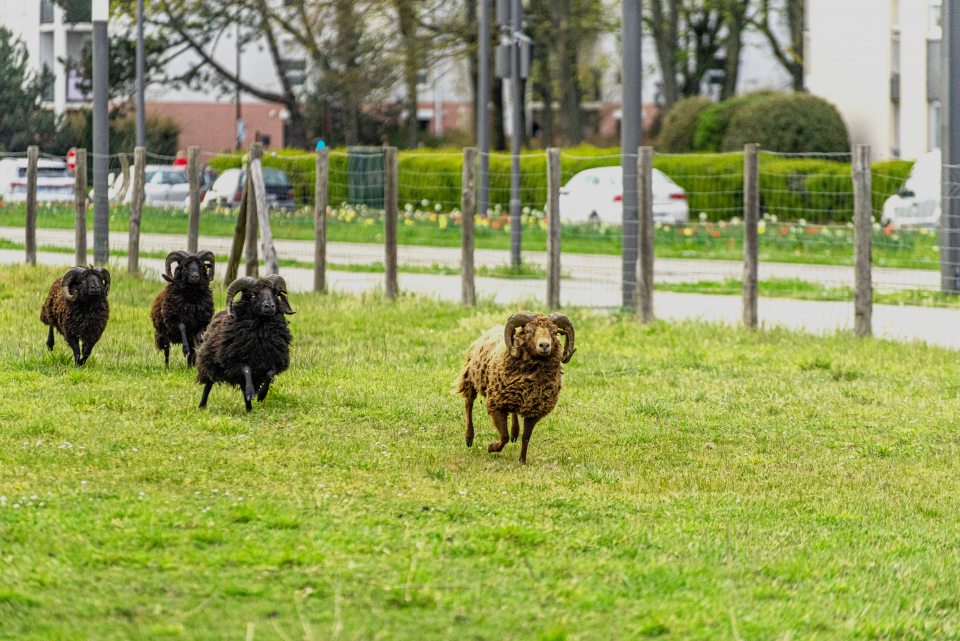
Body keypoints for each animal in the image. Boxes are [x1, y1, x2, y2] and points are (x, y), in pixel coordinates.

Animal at [197, 272, 294, 412]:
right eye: (253, 294)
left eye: (275, 294)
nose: (270, 306)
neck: (261, 335)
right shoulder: (235, 359)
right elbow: (247, 370)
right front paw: (251, 392)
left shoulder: (275, 359)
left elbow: (269, 374)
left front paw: (261, 395)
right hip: (210, 362)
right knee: (208, 385)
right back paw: (202, 405)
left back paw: (249, 410)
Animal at [454, 308, 572, 460]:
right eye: (528, 330)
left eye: (554, 332)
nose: (545, 345)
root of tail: (493, 328)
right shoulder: (496, 405)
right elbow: (503, 437)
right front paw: (492, 448)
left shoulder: (534, 410)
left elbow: (526, 437)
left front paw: (522, 460)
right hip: (471, 377)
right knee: (469, 404)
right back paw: (469, 437)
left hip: (512, 395)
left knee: (514, 412)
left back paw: (514, 433)